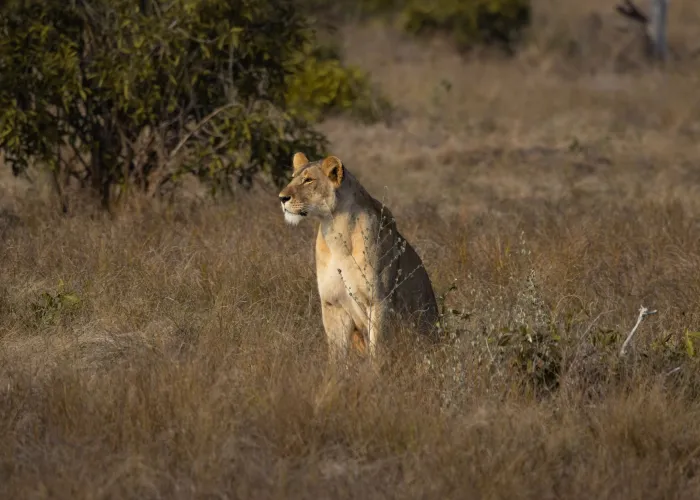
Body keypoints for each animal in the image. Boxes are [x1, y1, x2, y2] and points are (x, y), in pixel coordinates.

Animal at [278, 152, 439, 369]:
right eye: (293, 177)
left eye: (308, 180)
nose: (282, 198)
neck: (335, 230)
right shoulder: (333, 303)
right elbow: (337, 353)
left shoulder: (378, 301)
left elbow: (377, 349)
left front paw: (374, 374)